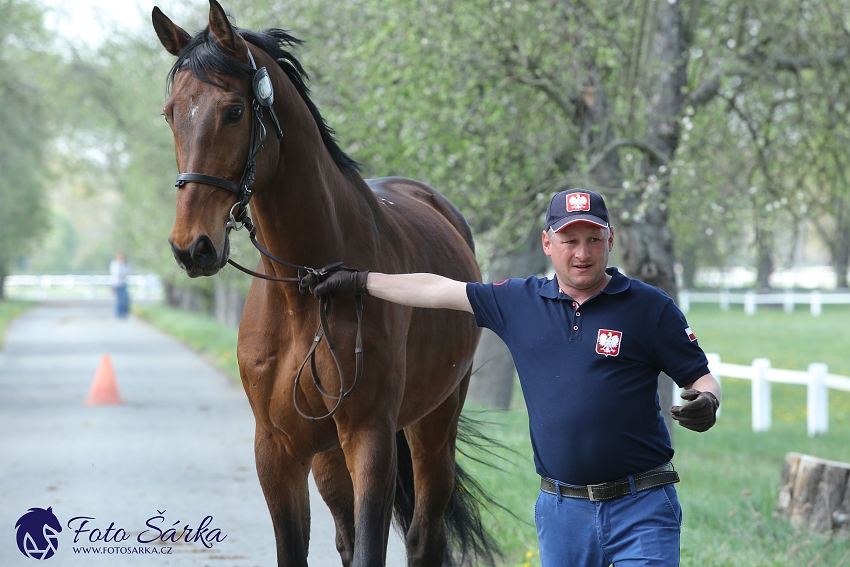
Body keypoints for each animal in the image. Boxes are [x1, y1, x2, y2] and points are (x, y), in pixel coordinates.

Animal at [152, 2, 496, 564]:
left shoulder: (370, 439)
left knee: (424, 535)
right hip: (329, 453)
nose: (191, 247)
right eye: (170, 113)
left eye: (234, 111)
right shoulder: (278, 449)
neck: (305, 293)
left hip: (433, 425)